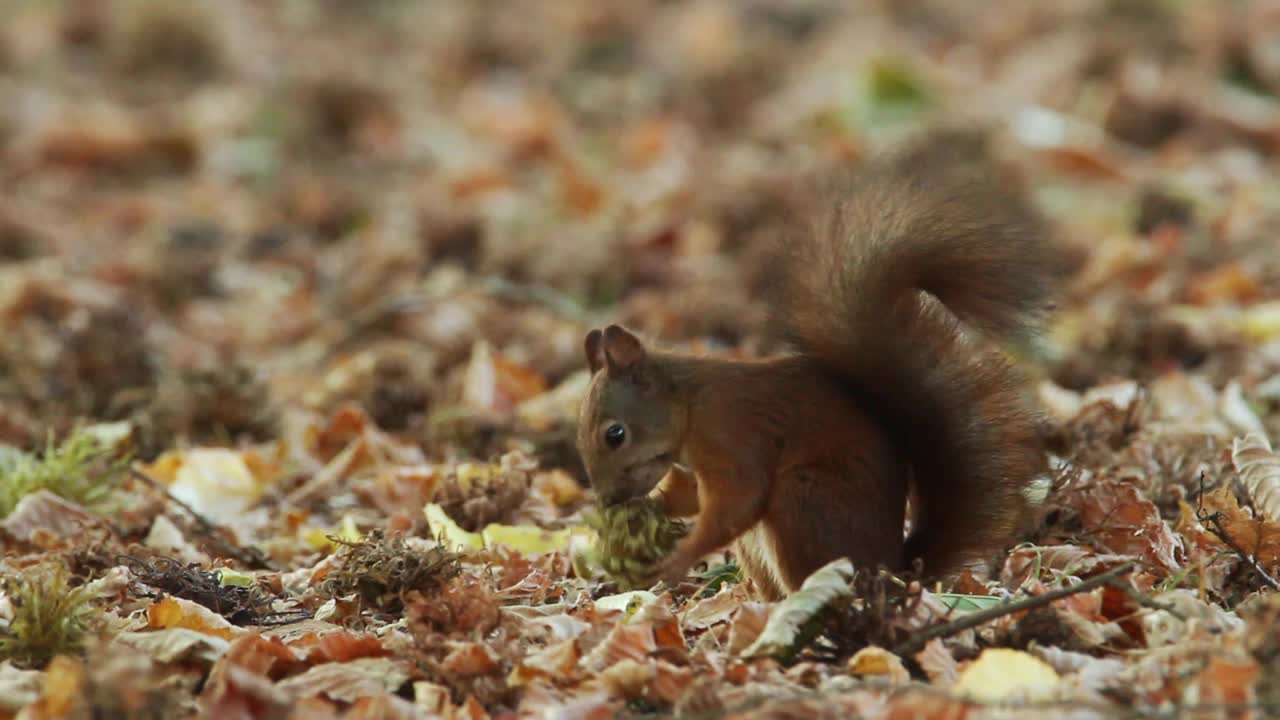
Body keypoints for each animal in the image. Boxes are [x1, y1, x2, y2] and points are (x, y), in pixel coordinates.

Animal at [576, 140, 1054, 599]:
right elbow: (694, 497)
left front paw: (680, 557)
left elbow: (741, 498)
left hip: (803, 503)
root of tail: (894, 572)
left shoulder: (733, 433)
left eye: (615, 435)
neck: (689, 403)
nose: (609, 500)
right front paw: (657, 509)